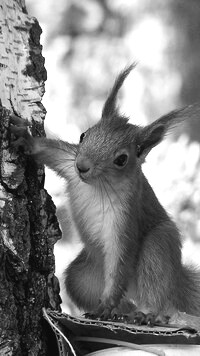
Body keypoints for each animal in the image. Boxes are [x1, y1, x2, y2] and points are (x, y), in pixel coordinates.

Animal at [10, 64, 200, 326]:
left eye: (121, 159)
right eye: (83, 135)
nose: (82, 166)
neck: (97, 186)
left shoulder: (124, 217)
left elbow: (118, 262)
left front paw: (106, 306)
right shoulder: (68, 162)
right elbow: (50, 152)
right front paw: (25, 139)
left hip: (159, 246)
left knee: (156, 287)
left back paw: (147, 313)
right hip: (83, 276)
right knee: (110, 295)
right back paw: (123, 311)